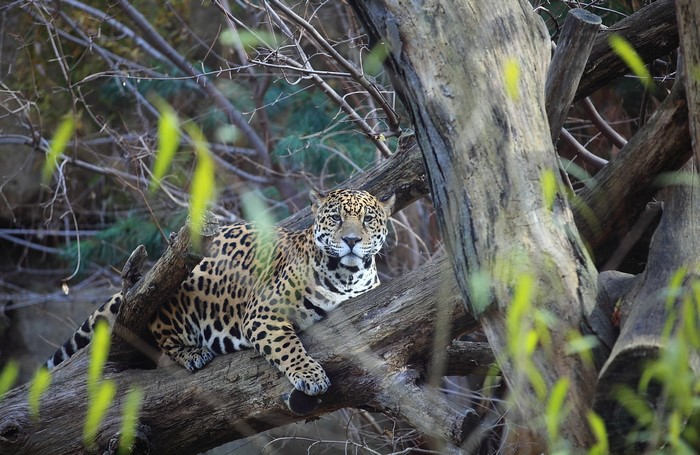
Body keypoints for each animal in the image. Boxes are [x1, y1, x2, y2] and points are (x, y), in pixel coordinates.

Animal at [46, 189, 395, 396]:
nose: (351, 240)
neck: (348, 274)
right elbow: (288, 347)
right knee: (163, 337)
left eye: (368, 219)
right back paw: (193, 353)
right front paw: (310, 376)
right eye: (336, 218)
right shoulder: (262, 312)